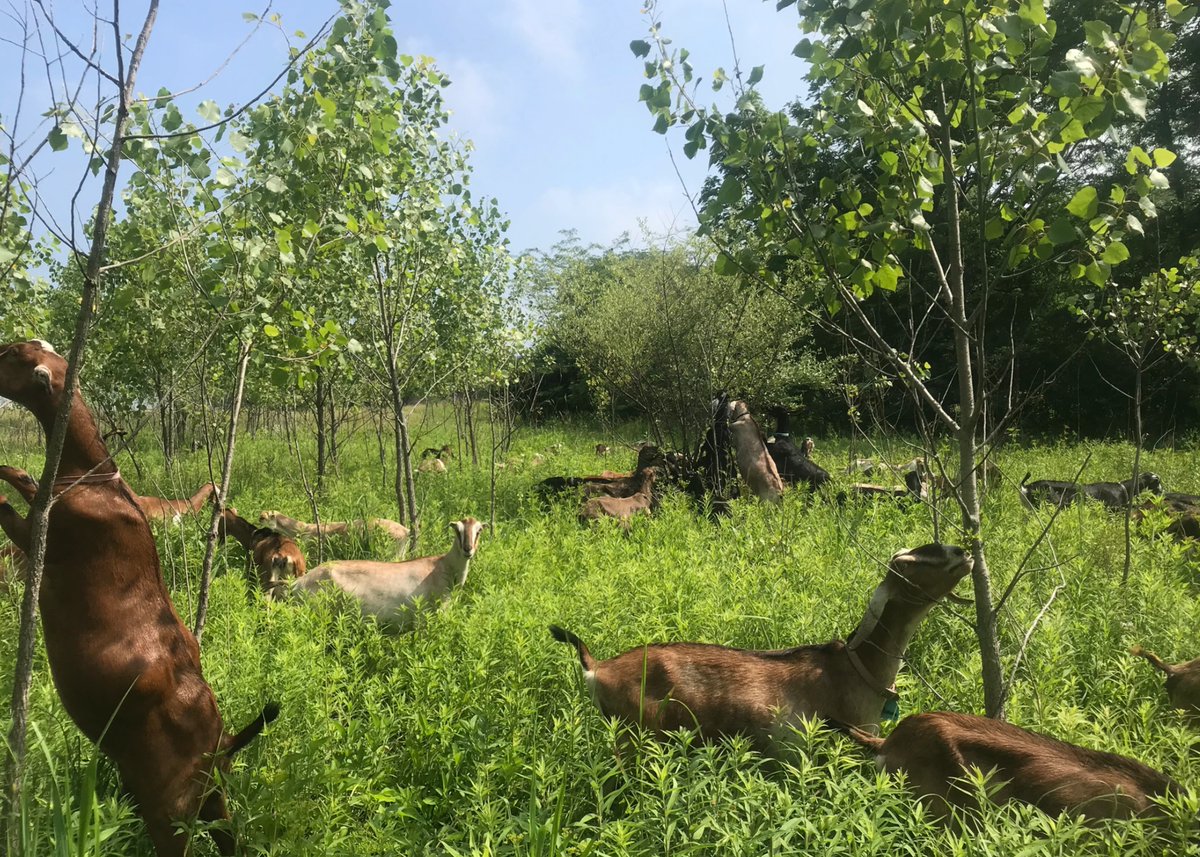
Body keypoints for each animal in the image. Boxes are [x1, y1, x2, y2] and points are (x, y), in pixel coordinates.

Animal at [0, 340, 276, 856]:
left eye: (11, 355)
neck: (96, 481)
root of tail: (219, 745)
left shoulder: (41, 533)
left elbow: (10, 500)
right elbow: (24, 475)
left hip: (168, 812)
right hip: (215, 802)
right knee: (230, 837)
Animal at [291, 517, 484, 629]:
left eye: (479, 530)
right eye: (457, 530)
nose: (468, 549)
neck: (443, 567)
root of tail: (298, 583)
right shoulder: (424, 618)